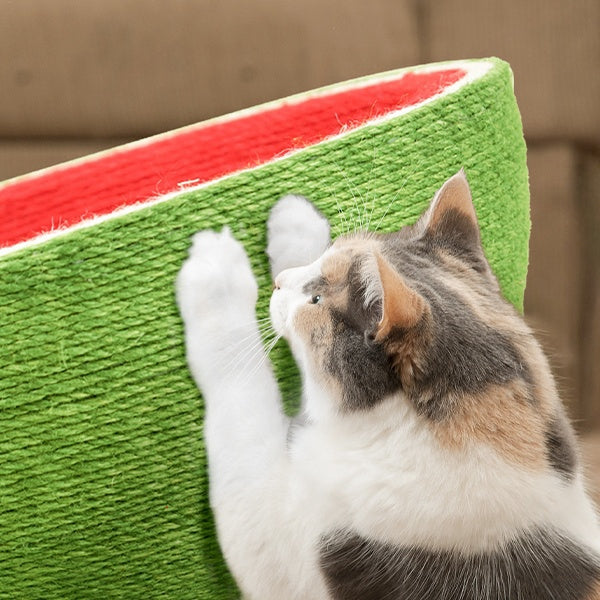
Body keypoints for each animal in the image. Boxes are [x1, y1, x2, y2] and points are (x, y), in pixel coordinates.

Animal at [176, 170, 596, 600]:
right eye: (326, 258)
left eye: (315, 301)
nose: (278, 282)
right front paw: (296, 222)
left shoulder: (280, 551)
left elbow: (241, 396)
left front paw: (215, 274)